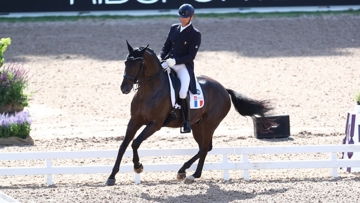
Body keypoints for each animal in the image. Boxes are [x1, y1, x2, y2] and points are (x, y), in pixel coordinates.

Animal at [105, 41, 274, 186]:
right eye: (126, 63)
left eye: (137, 64)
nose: (124, 88)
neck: (149, 90)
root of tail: (224, 90)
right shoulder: (134, 120)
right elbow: (123, 145)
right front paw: (112, 177)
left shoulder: (155, 124)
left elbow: (135, 143)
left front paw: (138, 166)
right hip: (198, 126)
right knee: (205, 148)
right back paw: (188, 173)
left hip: (209, 124)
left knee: (205, 148)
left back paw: (188, 173)